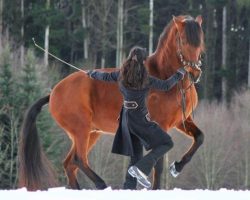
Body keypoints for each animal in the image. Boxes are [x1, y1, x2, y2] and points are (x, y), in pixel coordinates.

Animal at [18, 14, 205, 190]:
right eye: (183, 40)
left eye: (200, 42)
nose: (195, 73)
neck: (165, 78)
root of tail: (53, 93)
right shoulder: (161, 125)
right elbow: (158, 164)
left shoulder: (182, 121)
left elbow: (199, 138)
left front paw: (177, 167)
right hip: (81, 130)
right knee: (78, 160)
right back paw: (102, 184)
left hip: (91, 133)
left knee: (70, 164)